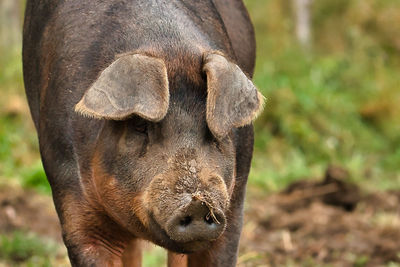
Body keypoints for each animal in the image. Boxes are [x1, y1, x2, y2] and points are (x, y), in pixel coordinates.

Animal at [23, 1, 264, 266]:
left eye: (211, 129)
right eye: (140, 125)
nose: (198, 203)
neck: (169, 46)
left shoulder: (234, 203)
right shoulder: (72, 199)